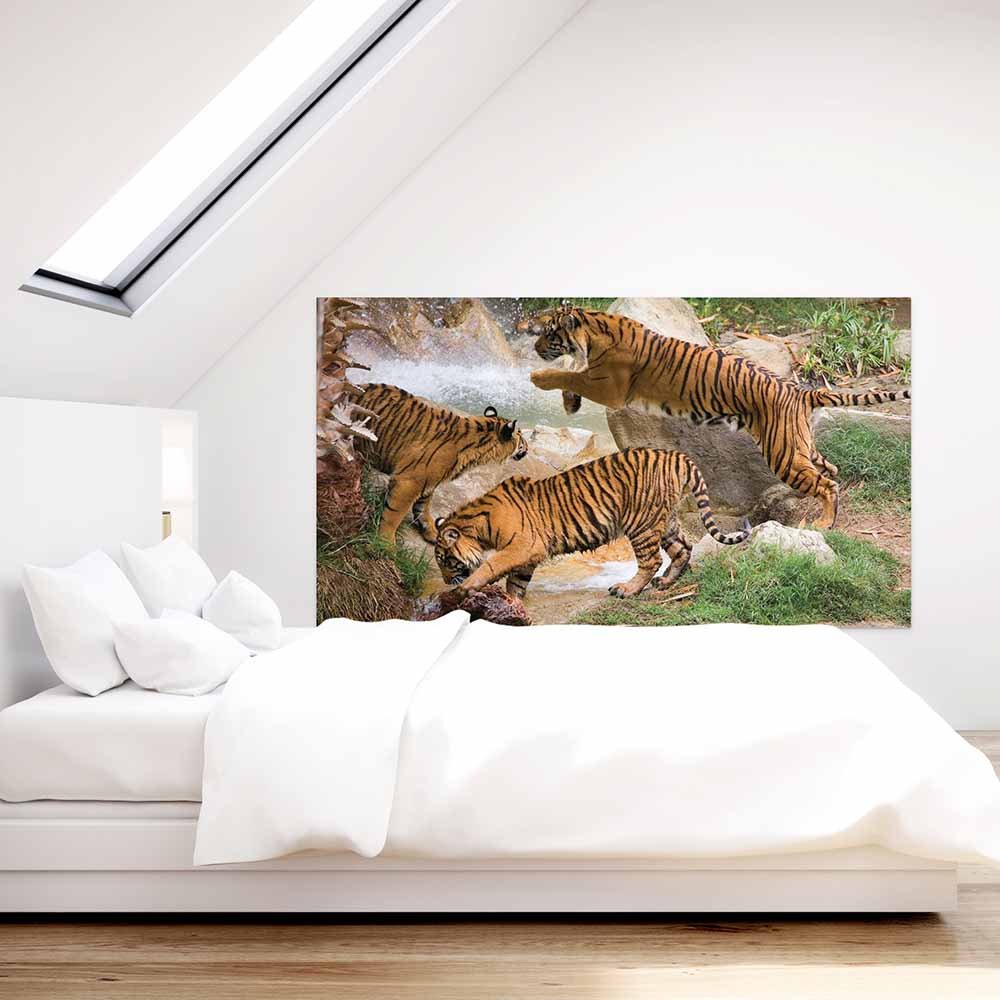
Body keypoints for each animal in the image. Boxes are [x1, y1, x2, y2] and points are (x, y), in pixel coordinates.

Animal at [355, 383, 528, 544]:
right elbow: (394, 515)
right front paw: (385, 543)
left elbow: (423, 508)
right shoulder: (409, 481)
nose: (527, 448)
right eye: (520, 436)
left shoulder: (427, 483)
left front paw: (432, 532)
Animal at [434, 447, 749, 601]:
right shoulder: (530, 554)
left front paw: (462, 590)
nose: (447, 580)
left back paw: (626, 589)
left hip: (641, 522)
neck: (478, 525)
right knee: (683, 548)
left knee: (651, 560)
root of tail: (677, 456)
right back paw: (666, 581)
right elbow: (516, 582)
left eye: (445, 561)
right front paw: (514, 604)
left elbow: (492, 566)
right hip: (664, 519)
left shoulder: (522, 546)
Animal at [519, 305, 911, 529]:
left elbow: (570, 373)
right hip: (800, 446)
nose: (535, 348)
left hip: (783, 452)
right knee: (831, 470)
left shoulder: (610, 388)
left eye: (550, 334)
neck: (594, 329)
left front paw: (539, 379)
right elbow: (574, 372)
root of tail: (800, 390)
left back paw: (825, 523)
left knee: (827, 483)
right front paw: (569, 403)